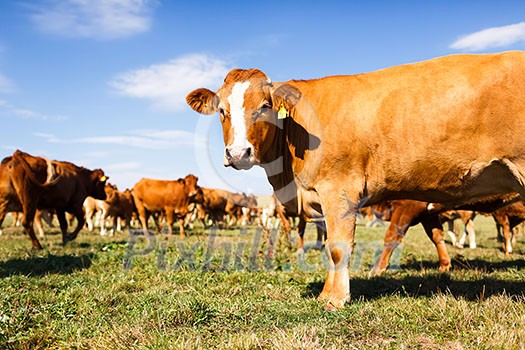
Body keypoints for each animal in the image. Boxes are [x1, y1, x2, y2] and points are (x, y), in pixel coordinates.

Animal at [186, 50, 524, 308]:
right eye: (222, 111)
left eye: (265, 107)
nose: (238, 153)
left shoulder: (339, 189)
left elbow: (338, 246)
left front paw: (334, 298)